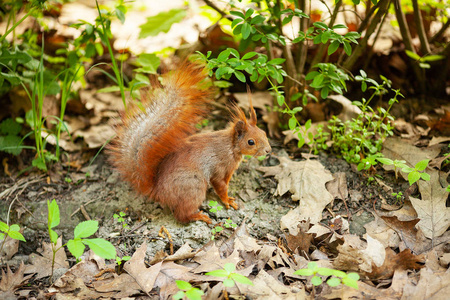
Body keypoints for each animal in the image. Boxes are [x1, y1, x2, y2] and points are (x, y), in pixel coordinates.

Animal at [108, 62, 270, 223]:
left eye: (264, 133)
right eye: (251, 142)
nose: (268, 151)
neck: (231, 147)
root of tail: (158, 192)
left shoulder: (229, 171)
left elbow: (226, 183)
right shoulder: (218, 168)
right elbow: (220, 186)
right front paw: (227, 200)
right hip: (193, 187)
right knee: (181, 215)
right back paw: (198, 216)